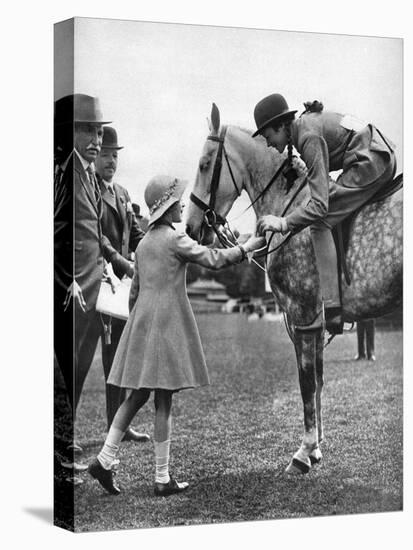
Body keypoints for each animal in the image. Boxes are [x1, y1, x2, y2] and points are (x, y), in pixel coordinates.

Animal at [185, 104, 400, 474]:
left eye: (203, 163)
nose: (190, 226)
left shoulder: (302, 319)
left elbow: (307, 383)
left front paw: (304, 452)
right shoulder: (314, 323)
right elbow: (318, 382)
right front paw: (316, 448)